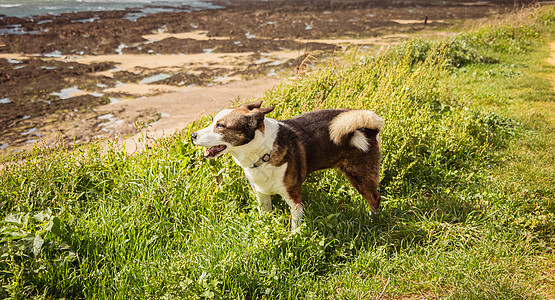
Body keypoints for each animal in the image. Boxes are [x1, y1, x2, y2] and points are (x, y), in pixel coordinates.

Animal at [190, 102, 382, 229]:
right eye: (213, 121)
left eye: (221, 126)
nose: (193, 135)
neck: (263, 151)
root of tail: (369, 127)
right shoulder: (262, 194)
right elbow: (265, 215)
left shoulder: (294, 196)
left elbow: (295, 225)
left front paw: (294, 238)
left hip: (359, 175)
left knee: (374, 198)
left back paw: (372, 221)